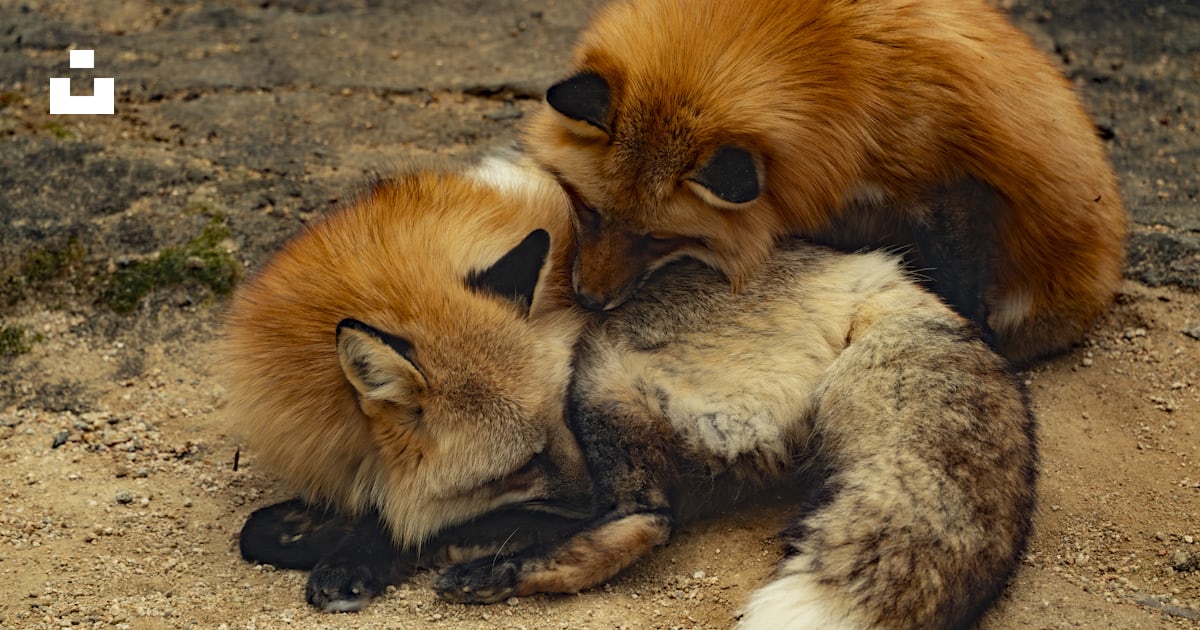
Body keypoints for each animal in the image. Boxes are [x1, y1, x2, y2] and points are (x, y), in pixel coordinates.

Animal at [234, 157, 1037, 628]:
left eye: (553, 431)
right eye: (523, 461)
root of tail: (875, 275)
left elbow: (392, 519)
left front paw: (362, 553)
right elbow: (272, 527)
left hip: (607, 368)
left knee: (647, 518)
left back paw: (492, 566)